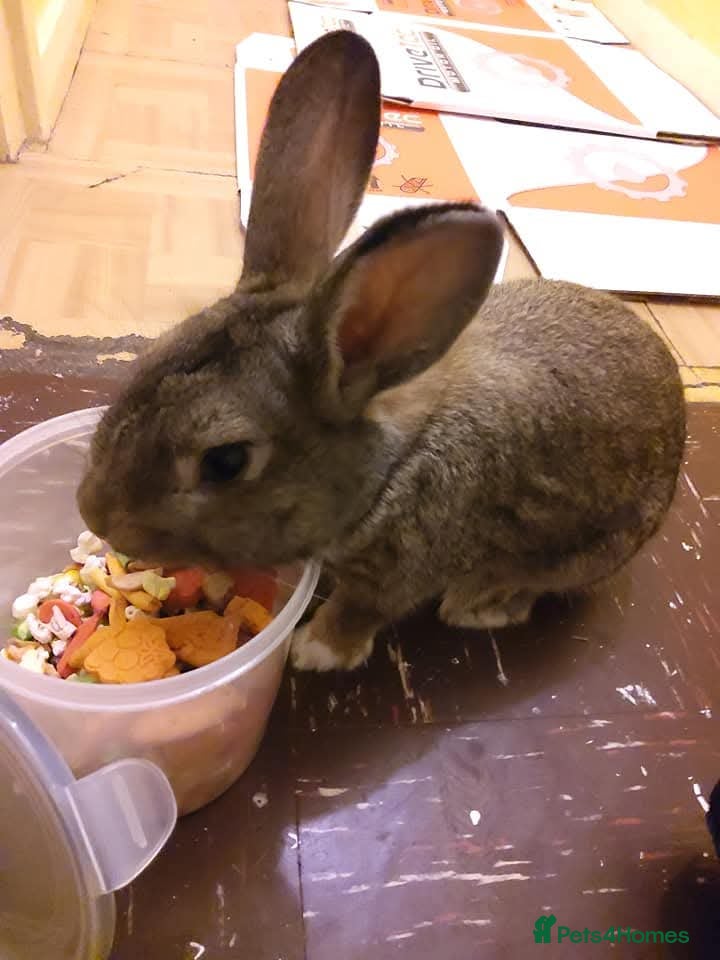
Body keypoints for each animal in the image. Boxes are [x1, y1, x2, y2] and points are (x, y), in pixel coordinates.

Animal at [77, 30, 686, 673]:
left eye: (226, 462)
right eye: (146, 364)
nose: (94, 513)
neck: (386, 468)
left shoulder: (396, 573)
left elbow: (359, 610)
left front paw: (312, 651)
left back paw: (481, 606)